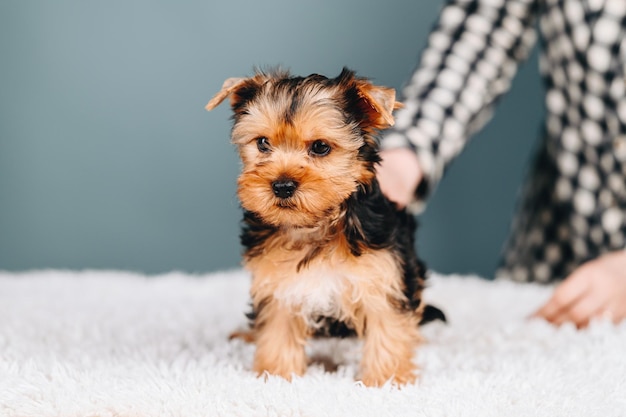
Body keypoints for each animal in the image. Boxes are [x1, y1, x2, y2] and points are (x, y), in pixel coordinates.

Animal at [205, 66, 438, 386]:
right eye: (262, 143)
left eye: (320, 147)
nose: (282, 186)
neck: (316, 225)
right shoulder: (278, 284)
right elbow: (277, 329)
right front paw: (276, 374)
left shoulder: (384, 276)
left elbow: (388, 328)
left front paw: (387, 380)